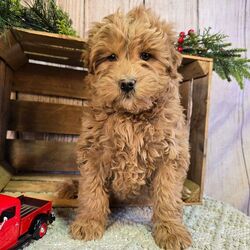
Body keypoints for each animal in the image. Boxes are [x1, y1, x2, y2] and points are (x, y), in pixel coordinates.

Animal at [70, 5, 191, 250]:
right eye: (111, 57)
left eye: (146, 56)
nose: (126, 83)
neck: (131, 116)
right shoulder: (92, 151)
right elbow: (91, 190)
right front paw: (88, 222)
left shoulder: (172, 153)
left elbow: (167, 195)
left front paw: (171, 231)